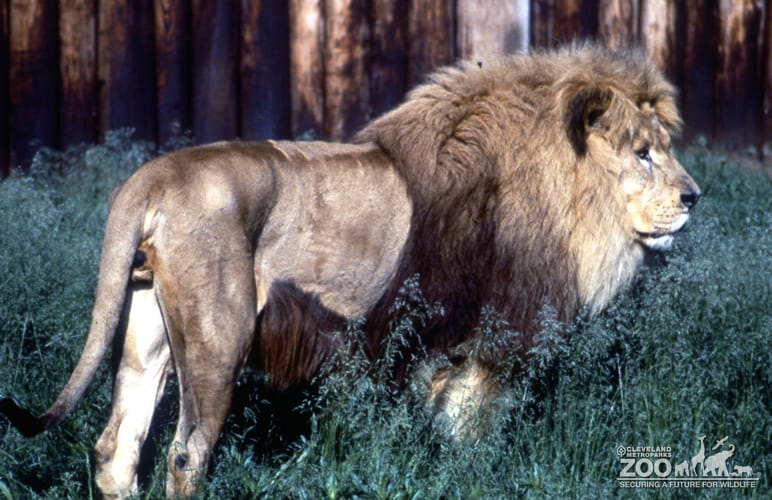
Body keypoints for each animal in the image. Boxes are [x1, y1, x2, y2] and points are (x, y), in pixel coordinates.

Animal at [0, 44, 699, 498]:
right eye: (644, 153)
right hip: (218, 339)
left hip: (147, 330)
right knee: (184, 456)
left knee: (115, 451)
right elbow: (470, 442)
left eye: (666, 148)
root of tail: (151, 178)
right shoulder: (491, 346)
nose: (695, 196)